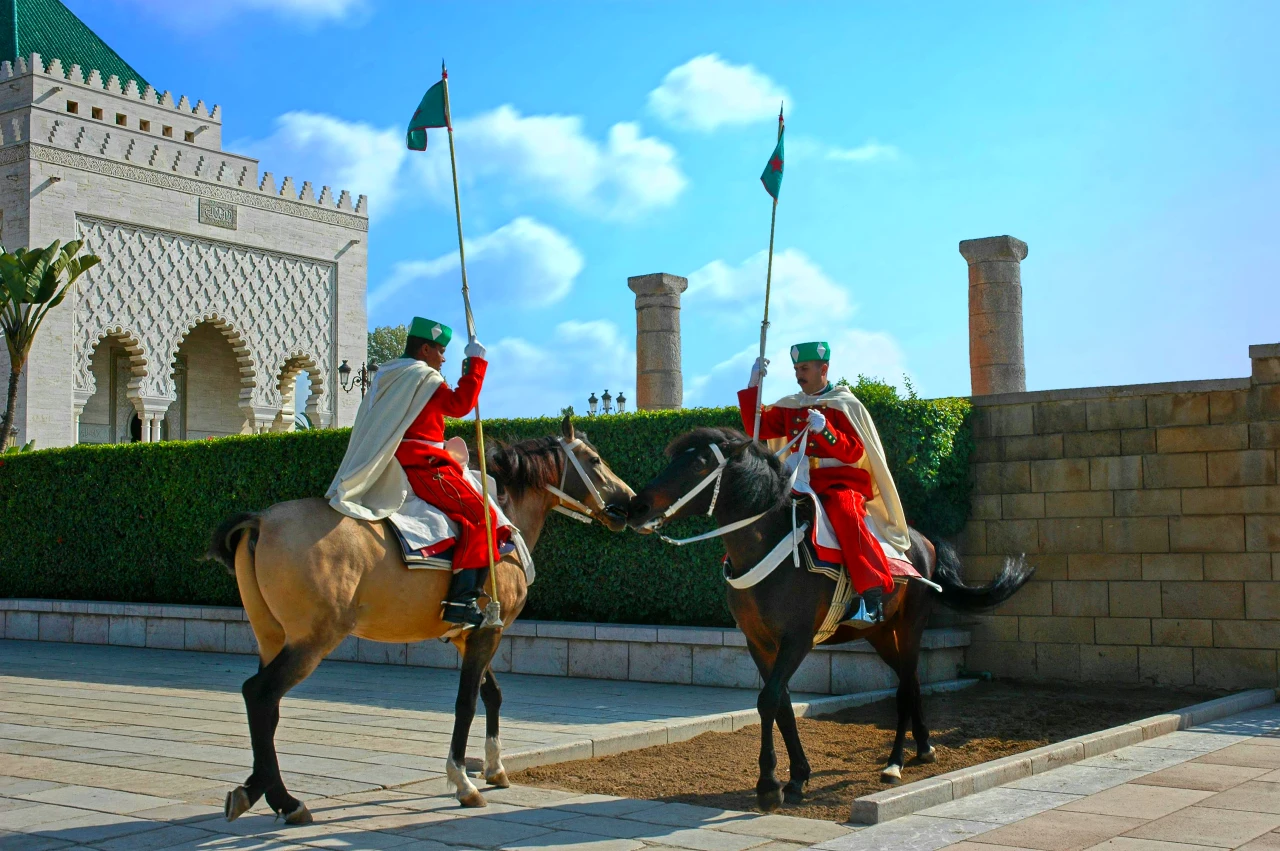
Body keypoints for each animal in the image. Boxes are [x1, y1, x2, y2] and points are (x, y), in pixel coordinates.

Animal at [204, 417, 634, 824]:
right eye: (595, 460)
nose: (629, 502)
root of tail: (261, 521)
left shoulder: (470, 634)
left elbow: (491, 694)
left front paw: (494, 767)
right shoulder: (488, 632)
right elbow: (466, 702)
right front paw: (462, 781)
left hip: (273, 637)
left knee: (267, 706)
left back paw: (258, 789)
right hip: (312, 640)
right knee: (260, 694)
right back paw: (286, 800)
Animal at [624, 424, 1034, 808]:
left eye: (698, 462)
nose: (635, 507)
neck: (766, 548)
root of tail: (921, 540)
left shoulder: (797, 639)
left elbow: (768, 700)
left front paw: (769, 785)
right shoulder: (759, 642)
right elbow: (782, 704)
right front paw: (797, 777)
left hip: (910, 625)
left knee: (904, 687)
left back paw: (894, 762)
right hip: (881, 633)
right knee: (913, 680)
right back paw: (923, 747)